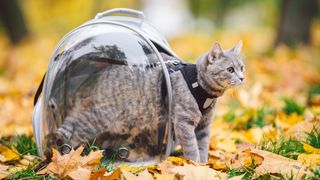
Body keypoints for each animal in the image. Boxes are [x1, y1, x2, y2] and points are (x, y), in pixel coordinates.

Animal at [45, 41, 245, 162]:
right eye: (230, 69)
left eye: (242, 67)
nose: (242, 78)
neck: (200, 87)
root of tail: (94, 81)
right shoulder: (184, 122)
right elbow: (191, 146)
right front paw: (194, 164)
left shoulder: (204, 125)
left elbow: (202, 145)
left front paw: (203, 166)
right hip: (96, 119)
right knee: (71, 132)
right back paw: (65, 155)